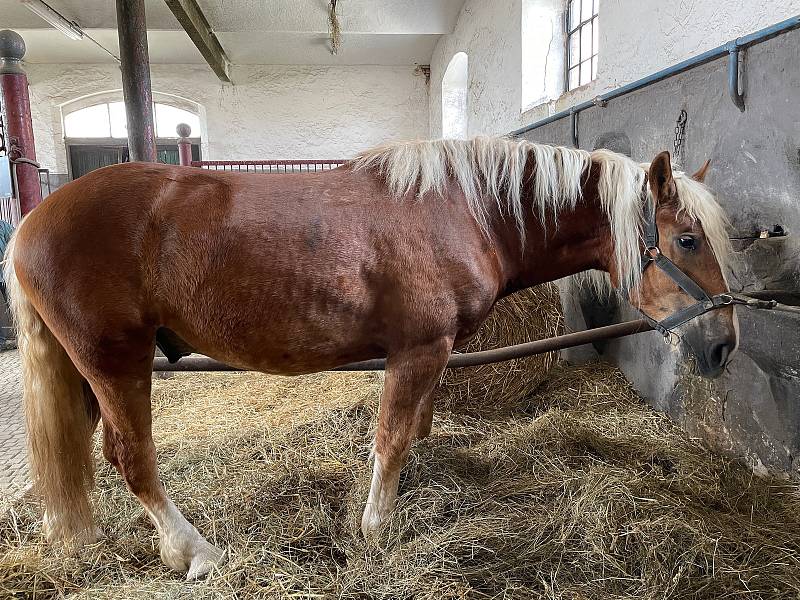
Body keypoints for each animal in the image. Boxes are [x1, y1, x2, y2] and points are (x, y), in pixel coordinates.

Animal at [3, 136, 736, 576]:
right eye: (688, 239)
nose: (724, 344)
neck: (467, 211)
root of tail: (34, 221)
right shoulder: (418, 350)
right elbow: (392, 437)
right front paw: (376, 527)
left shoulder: (429, 356)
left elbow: (414, 431)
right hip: (115, 360)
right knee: (131, 459)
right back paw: (195, 552)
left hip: (86, 371)